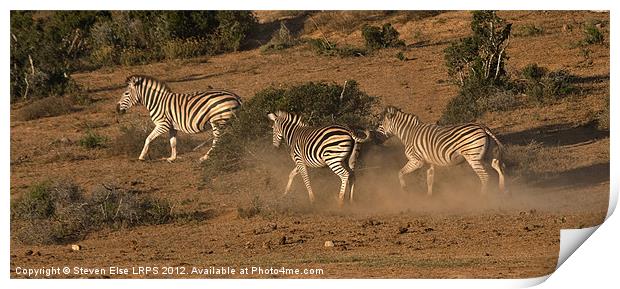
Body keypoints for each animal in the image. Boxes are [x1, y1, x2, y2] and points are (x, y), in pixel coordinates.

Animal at [376, 106, 506, 196]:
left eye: (380, 124)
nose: (375, 136)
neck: (409, 133)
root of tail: (483, 127)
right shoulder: (429, 163)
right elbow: (429, 180)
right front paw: (429, 197)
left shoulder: (416, 161)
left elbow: (400, 173)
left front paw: (405, 190)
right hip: (487, 155)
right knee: (499, 168)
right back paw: (502, 191)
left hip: (473, 157)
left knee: (485, 176)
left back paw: (482, 197)